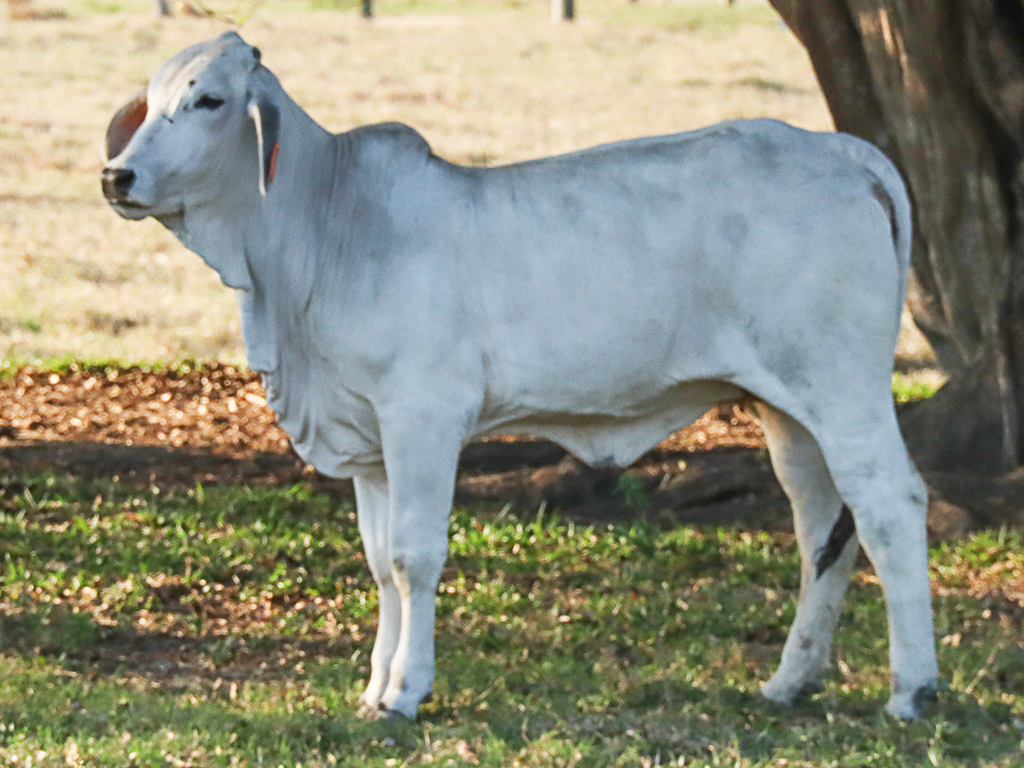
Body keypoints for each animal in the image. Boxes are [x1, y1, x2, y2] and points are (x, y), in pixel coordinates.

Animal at [101, 31, 938, 720]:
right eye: (151, 97)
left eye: (209, 99)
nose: (118, 175)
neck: (318, 231)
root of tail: (843, 152)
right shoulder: (368, 442)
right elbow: (378, 564)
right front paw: (374, 686)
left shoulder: (423, 416)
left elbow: (412, 556)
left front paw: (405, 691)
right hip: (786, 408)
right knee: (824, 527)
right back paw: (789, 681)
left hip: (845, 389)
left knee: (891, 506)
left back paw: (912, 690)